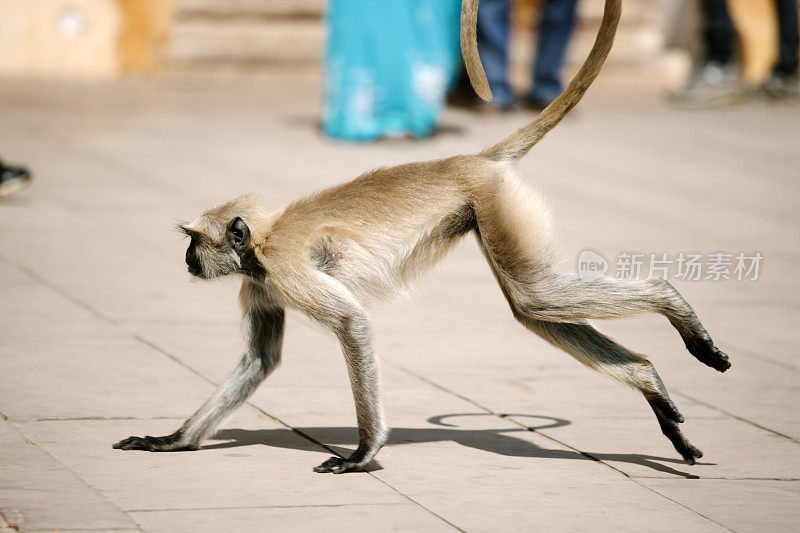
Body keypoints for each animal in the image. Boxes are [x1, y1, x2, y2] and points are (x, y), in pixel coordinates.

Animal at [114, 0, 732, 474]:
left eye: (195, 241)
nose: (187, 258)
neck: (263, 242)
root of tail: (469, 160)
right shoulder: (261, 282)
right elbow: (258, 363)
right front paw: (172, 440)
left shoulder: (284, 265)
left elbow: (353, 324)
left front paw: (363, 454)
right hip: (492, 208)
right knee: (530, 306)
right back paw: (649, 381)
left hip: (493, 200)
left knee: (534, 297)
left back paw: (672, 303)